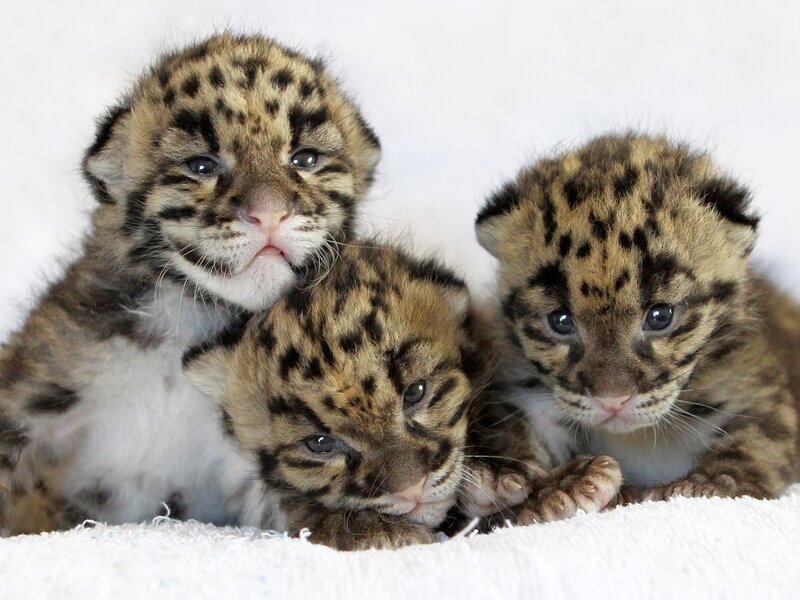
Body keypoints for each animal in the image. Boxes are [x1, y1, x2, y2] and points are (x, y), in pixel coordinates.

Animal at [471, 132, 799, 513]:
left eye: (660, 316)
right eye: (560, 321)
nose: (612, 400)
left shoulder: (754, 384)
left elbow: (760, 437)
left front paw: (711, 483)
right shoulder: (522, 390)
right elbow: (513, 430)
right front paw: (549, 484)